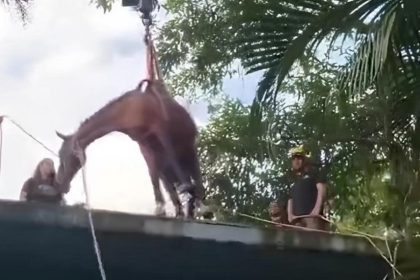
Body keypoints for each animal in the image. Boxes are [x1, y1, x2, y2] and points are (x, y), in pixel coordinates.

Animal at [54, 80, 208, 218]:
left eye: (63, 155)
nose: (61, 184)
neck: (127, 110)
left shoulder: (160, 129)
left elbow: (169, 159)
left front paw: (184, 191)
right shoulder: (143, 143)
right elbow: (153, 174)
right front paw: (160, 208)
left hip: (188, 149)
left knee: (195, 177)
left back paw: (198, 204)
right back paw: (184, 210)